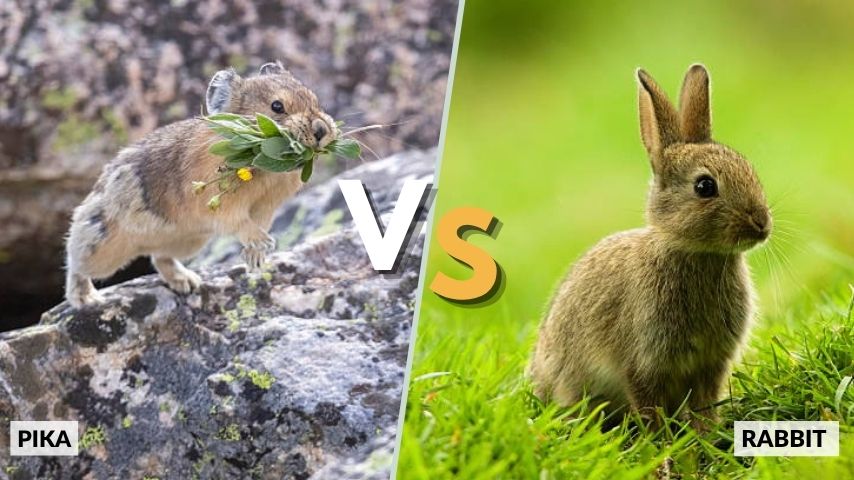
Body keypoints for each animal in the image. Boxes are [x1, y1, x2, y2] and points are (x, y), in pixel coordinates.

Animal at [528, 64, 771, 430]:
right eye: (705, 186)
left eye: (749, 171)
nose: (762, 224)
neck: (695, 252)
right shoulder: (643, 360)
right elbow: (648, 403)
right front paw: (662, 443)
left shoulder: (711, 363)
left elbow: (704, 402)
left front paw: (708, 434)